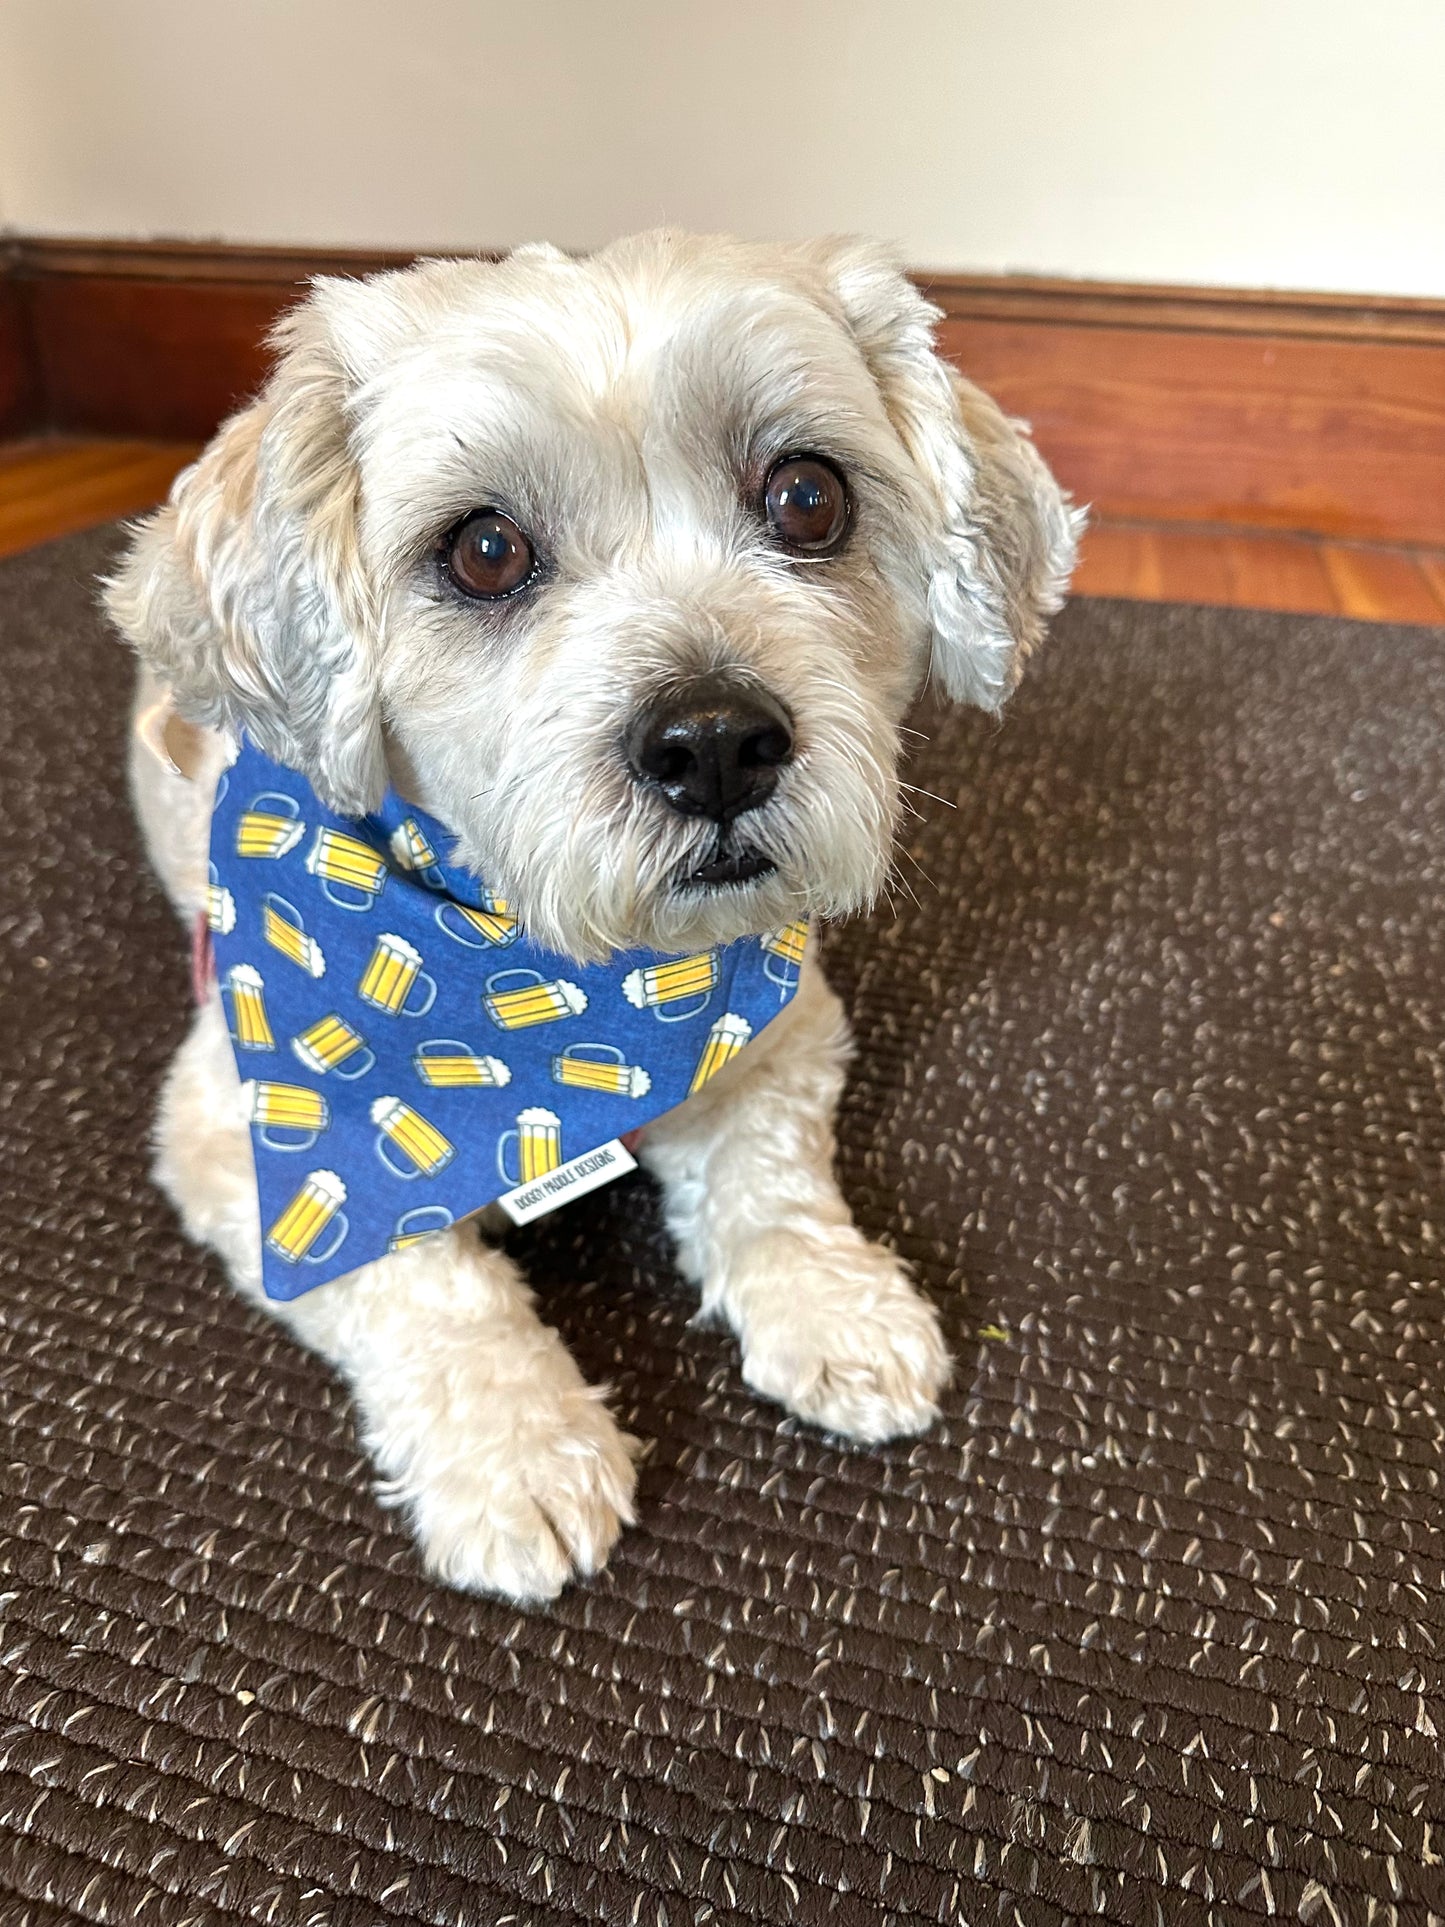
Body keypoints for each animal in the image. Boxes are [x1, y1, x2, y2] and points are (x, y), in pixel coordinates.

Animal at [107, 233, 1078, 1603]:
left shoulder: (788, 1022)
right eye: (484, 551)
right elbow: (420, 1283)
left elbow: (770, 1176)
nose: (715, 742)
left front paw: (831, 1302)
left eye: (807, 495)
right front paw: (516, 1448)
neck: (560, 987)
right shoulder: (249, 1142)